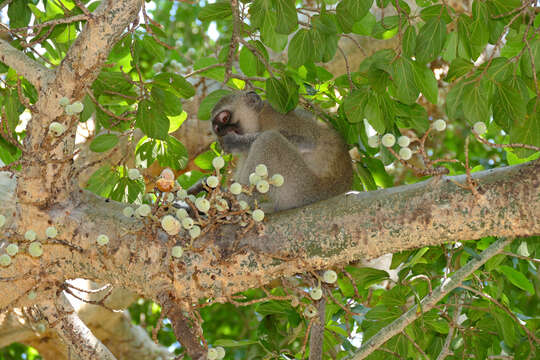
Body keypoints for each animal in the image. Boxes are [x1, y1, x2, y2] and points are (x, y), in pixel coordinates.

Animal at [209, 91, 352, 212]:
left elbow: (307, 142)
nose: (222, 132)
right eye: (217, 129)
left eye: (224, 118)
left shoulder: (277, 114)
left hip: (301, 188)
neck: (259, 120)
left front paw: (235, 142)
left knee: (269, 139)